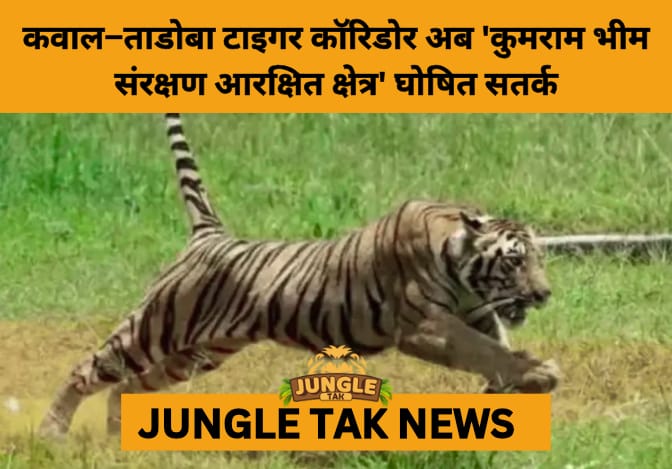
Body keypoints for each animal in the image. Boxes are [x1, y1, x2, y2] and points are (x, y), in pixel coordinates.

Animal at [39, 113, 560, 439]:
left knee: (126, 387)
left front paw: (519, 380)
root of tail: (210, 234)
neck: (463, 268)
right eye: (515, 261)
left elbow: (497, 345)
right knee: (89, 371)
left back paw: (117, 436)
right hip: (155, 328)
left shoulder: (476, 313)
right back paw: (51, 432)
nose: (544, 294)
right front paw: (538, 372)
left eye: (539, 259)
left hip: (200, 353)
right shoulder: (426, 327)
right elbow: (484, 350)